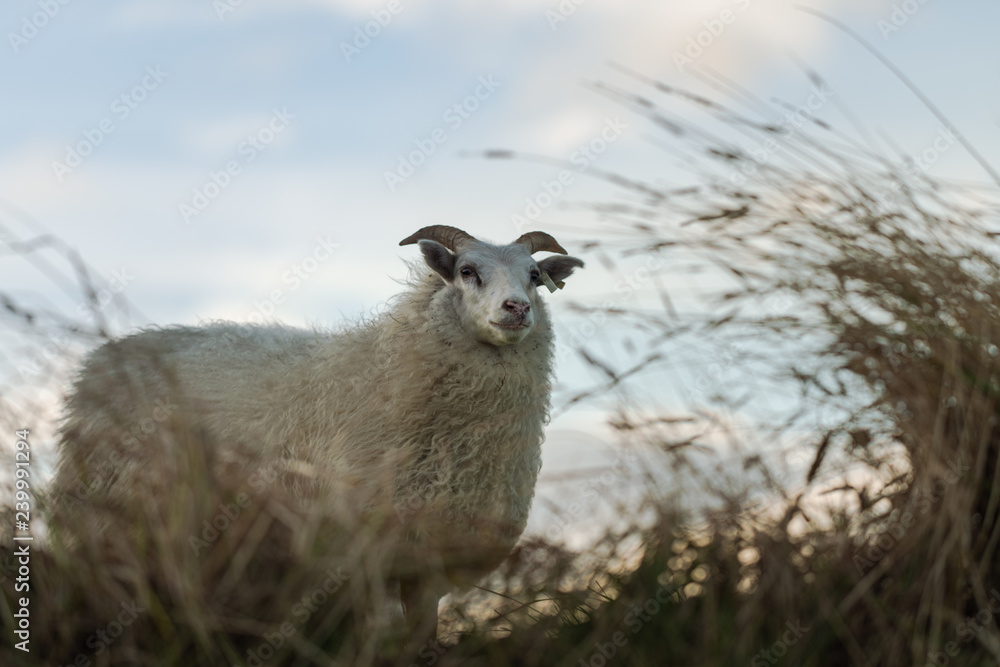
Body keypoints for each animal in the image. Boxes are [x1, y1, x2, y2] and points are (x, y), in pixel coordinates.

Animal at [48, 225, 584, 644]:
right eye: (468, 271)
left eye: (535, 277)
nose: (517, 308)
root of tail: (99, 361)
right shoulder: (361, 554)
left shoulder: (425, 564)